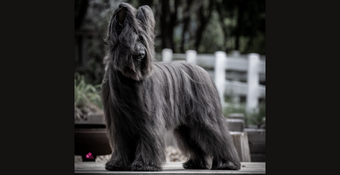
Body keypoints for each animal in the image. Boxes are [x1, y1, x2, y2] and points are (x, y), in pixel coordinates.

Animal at [101, 2, 242, 172]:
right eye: (130, 39)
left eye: (142, 38)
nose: (141, 54)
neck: (128, 79)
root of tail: (203, 70)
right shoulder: (118, 121)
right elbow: (120, 143)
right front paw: (118, 163)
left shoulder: (148, 119)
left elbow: (148, 138)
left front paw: (145, 164)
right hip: (187, 125)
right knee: (194, 141)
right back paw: (196, 163)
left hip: (206, 118)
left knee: (219, 137)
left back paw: (228, 163)